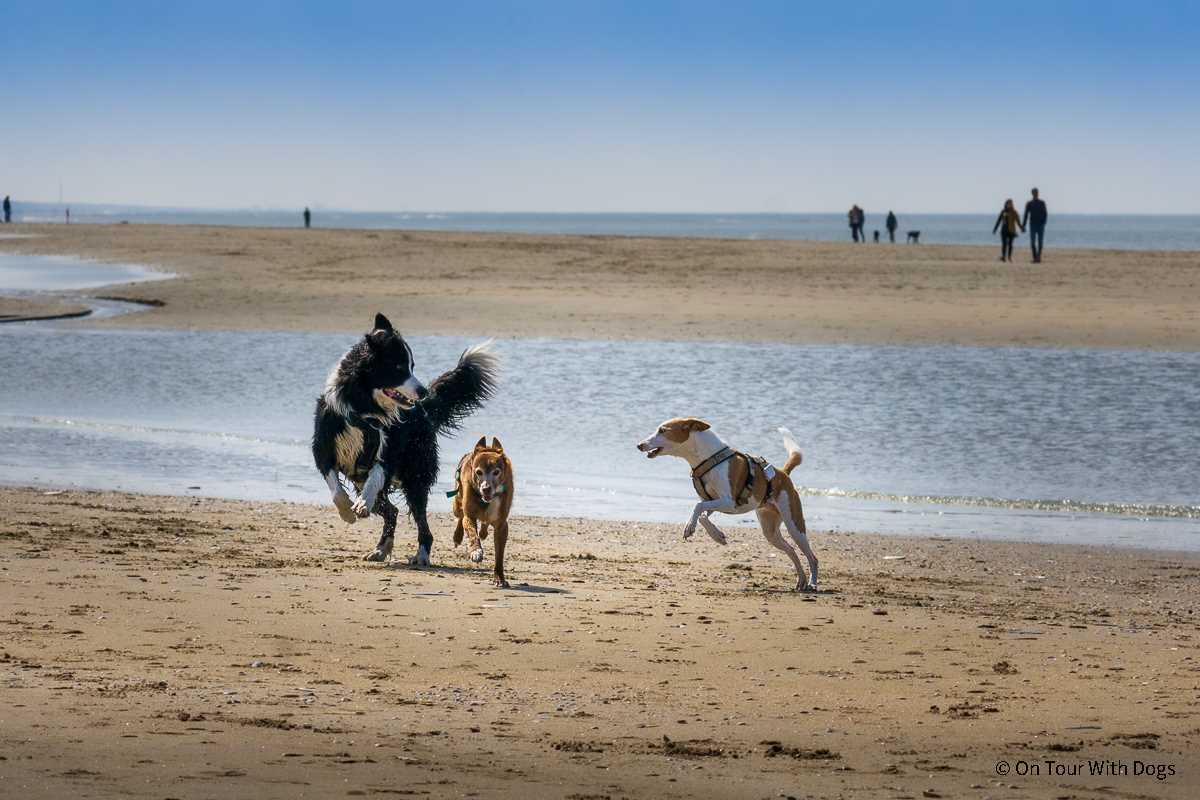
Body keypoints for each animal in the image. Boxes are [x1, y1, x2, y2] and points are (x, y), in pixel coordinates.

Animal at [314, 311, 496, 563]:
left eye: (412, 366)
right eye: (399, 367)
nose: (423, 392)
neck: (364, 410)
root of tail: (424, 411)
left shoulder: (389, 451)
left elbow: (376, 477)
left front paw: (361, 504)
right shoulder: (323, 447)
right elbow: (335, 488)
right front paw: (347, 512)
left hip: (415, 475)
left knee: (421, 522)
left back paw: (421, 555)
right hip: (368, 478)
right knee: (392, 510)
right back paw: (380, 548)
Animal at [448, 438, 508, 587]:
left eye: (496, 472)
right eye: (478, 472)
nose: (486, 488)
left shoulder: (501, 524)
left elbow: (499, 554)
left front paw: (499, 578)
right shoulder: (470, 514)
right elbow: (471, 531)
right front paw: (476, 551)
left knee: (484, 524)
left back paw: (483, 531)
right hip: (457, 502)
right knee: (460, 516)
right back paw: (457, 536)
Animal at [638, 422, 816, 592]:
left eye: (662, 430)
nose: (639, 445)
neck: (708, 459)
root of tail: (784, 473)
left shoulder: (728, 502)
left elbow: (698, 506)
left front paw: (691, 528)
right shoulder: (714, 501)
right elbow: (701, 515)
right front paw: (716, 535)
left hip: (794, 526)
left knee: (812, 557)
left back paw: (812, 583)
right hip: (770, 531)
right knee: (791, 550)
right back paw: (801, 582)